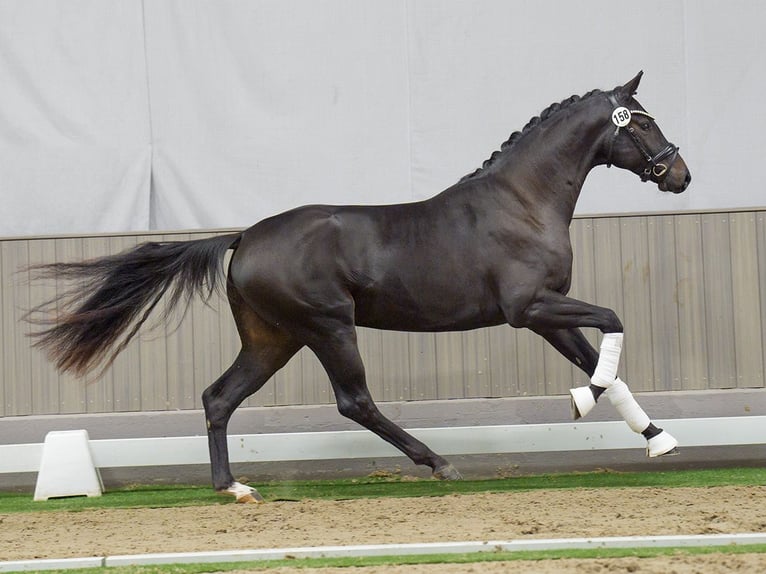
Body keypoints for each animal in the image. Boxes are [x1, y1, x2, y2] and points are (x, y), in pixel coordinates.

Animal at [30, 73, 692, 504]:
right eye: (644, 120)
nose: (680, 175)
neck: (522, 202)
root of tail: (244, 237)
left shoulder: (547, 315)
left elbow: (603, 358)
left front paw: (658, 440)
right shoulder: (528, 307)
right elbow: (613, 322)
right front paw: (583, 401)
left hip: (273, 339)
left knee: (219, 397)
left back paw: (234, 487)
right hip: (327, 326)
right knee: (354, 401)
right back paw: (439, 463)